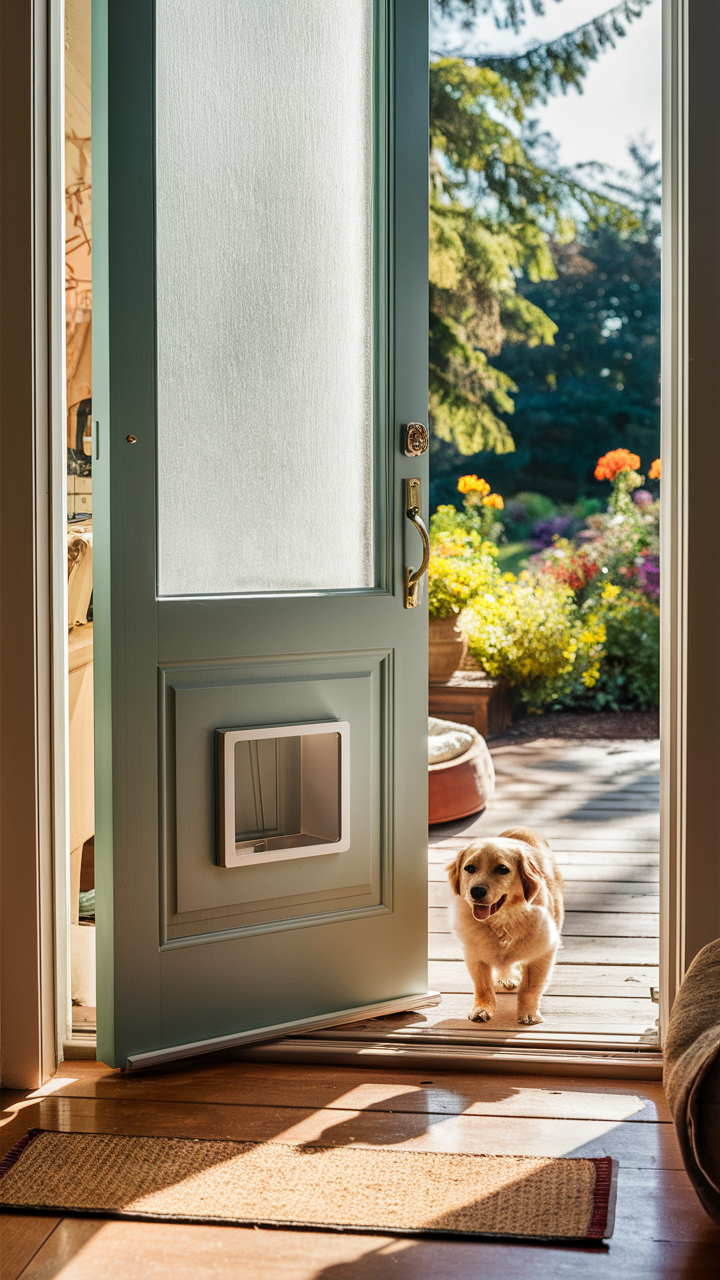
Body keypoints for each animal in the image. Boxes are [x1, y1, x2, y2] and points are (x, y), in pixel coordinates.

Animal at [445, 829, 563, 1029]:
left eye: (502, 869)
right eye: (469, 868)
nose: (476, 891)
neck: (503, 921)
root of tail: (521, 828)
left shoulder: (543, 951)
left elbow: (531, 987)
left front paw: (528, 1014)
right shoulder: (474, 952)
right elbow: (483, 986)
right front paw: (482, 1009)